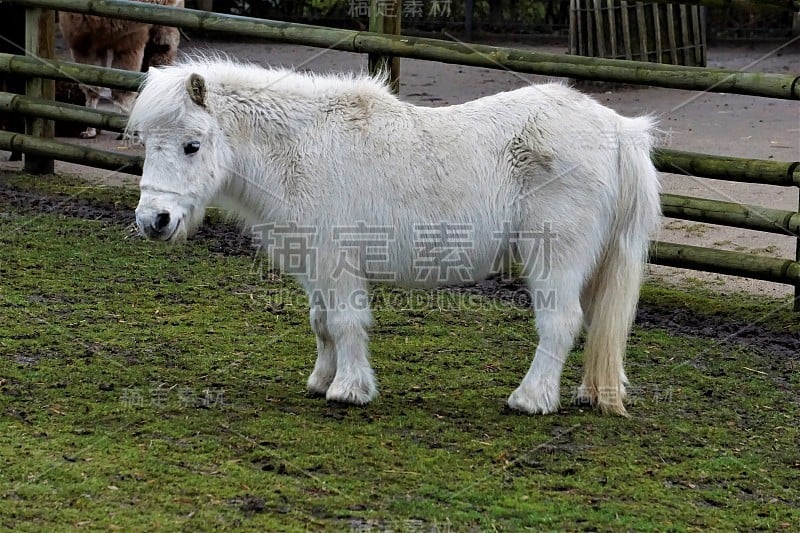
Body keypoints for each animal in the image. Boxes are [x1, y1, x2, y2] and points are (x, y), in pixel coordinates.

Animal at [60, 0, 184, 139]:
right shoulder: (83, 42)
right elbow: (91, 84)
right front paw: (89, 129)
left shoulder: (128, 41)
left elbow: (122, 88)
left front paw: (124, 130)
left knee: (162, 52)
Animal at [128, 57, 660, 416]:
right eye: (146, 141)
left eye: (191, 145)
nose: (154, 220)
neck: (300, 149)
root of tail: (618, 130)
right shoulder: (316, 265)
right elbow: (321, 323)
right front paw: (321, 380)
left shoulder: (337, 262)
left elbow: (344, 323)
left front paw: (349, 389)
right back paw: (591, 393)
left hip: (556, 258)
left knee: (560, 322)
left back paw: (530, 399)